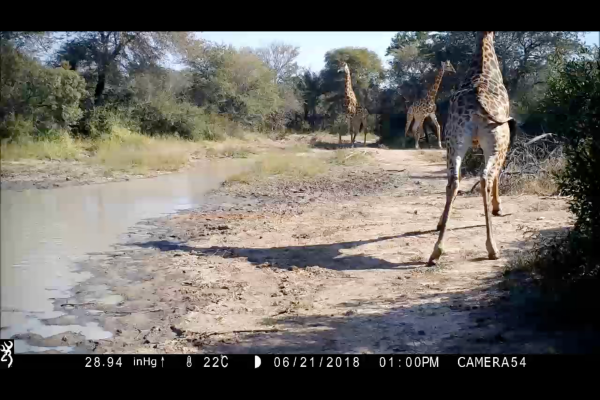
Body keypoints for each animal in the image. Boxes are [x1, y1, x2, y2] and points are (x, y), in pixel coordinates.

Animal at [426, 31, 516, 266]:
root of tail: (478, 102)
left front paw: (440, 222)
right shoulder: (497, 143)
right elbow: (497, 176)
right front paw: (498, 208)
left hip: (454, 142)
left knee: (453, 182)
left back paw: (436, 250)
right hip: (499, 140)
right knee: (485, 178)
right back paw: (492, 248)